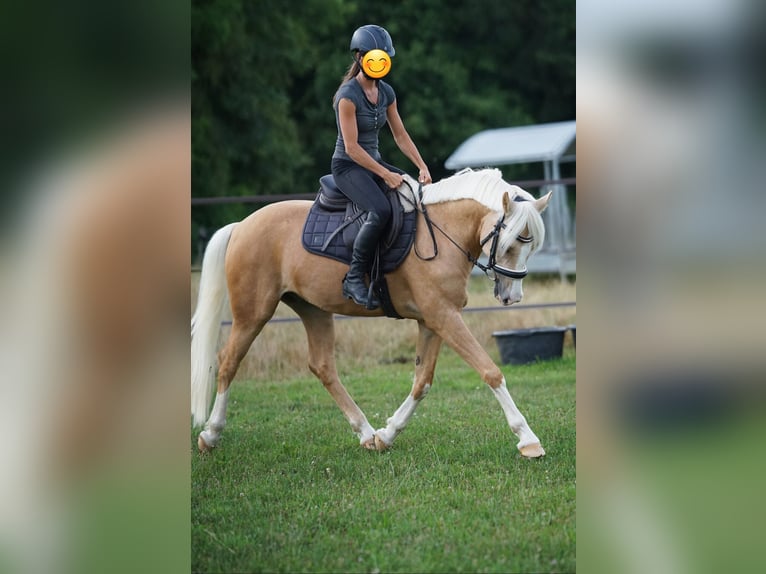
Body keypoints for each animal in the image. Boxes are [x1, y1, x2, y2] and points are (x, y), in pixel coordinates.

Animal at [192, 166, 552, 460]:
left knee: (322, 366)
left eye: (531, 246)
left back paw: (366, 433)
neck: (443, 230)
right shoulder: (443, 316)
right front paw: (528, 439)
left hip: (313, 310)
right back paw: (210, 434)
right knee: (228, 361)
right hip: (253, 312)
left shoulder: (432, 321)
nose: (513, 296)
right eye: (511, 243)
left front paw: (387, 435)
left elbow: (422, 381)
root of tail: (242, 225)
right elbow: (490, 371)